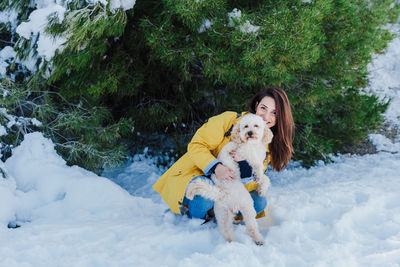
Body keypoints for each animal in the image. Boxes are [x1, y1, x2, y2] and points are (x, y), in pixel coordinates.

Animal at [186, 113, 274, 245]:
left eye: (256, 125)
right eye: (245, 126)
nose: (249, 133)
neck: (253, 144)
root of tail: (223, 194)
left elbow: (265, 178)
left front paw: (261, 189)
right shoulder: (244, 153)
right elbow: (258, 166)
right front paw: (259, 176)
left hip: (223, 215)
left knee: (226, 231)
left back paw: (231, 243)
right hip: (247, 206)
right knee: (251, 227)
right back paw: (258, 240)